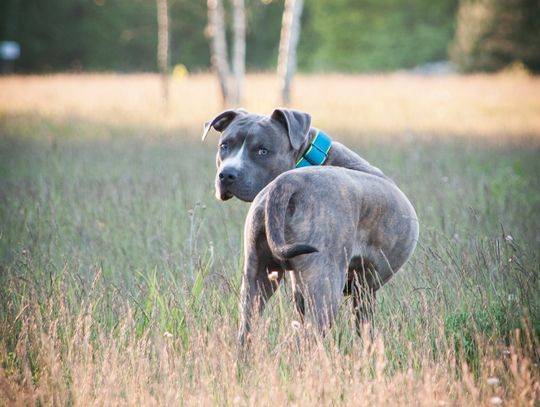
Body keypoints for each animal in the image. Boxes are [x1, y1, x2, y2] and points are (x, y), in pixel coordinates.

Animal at [202, 107, 418, 344]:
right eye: (225, 145)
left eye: (263, 151)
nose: (227, 174)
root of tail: (288, 181)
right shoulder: (364, 292)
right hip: (324, 288)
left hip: (256, 277)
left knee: (246, 330)